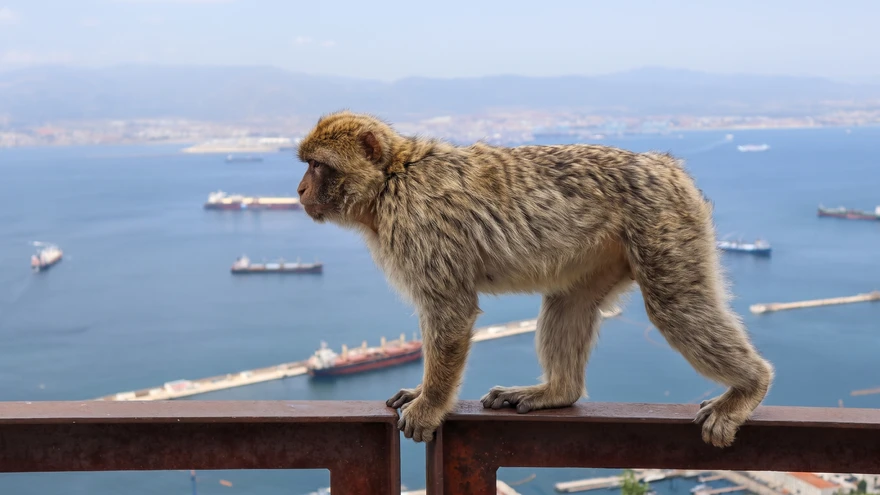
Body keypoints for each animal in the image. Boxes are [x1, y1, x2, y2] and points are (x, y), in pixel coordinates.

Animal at [295, 110, 774, 448]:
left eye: (317, 166)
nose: (298, 190)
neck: (393, 180)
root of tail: (664, 165)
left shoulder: (422, 227)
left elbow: (450, 311)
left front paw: (429, 404)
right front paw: (420, 392)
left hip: (663, 223)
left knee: (675, 306)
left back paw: (749, 387)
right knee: (570, 301)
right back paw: (557, 392)